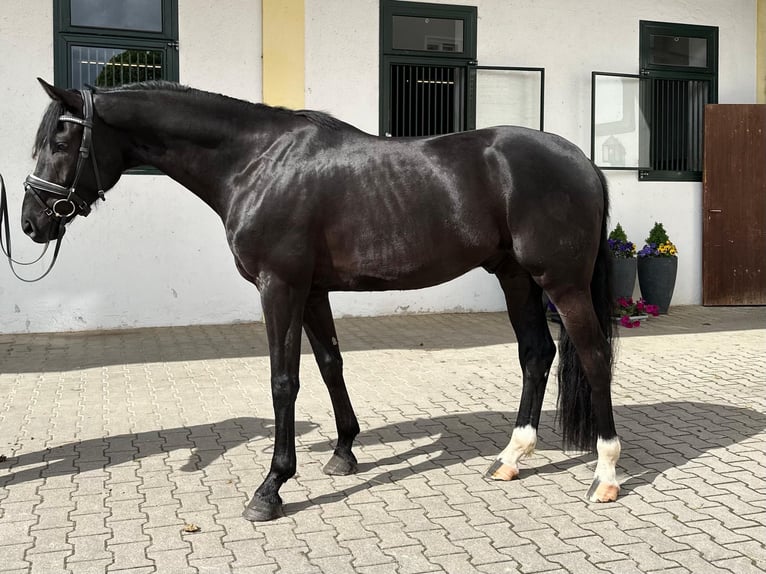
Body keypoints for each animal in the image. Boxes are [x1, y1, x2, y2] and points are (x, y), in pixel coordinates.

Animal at [21, 79, 619, 521]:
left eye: (60, 143)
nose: (30, 222)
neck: (256, 162)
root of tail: (583, 161)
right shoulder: (311, 290)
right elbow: (331, 363)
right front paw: (343, 452)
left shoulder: (279, 286)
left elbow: (284, 380)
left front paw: (271, 487)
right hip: (515, 276)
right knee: (536, 354)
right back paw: (511, 458)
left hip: (561, 282)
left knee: (592, 357)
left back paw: (605, 475)